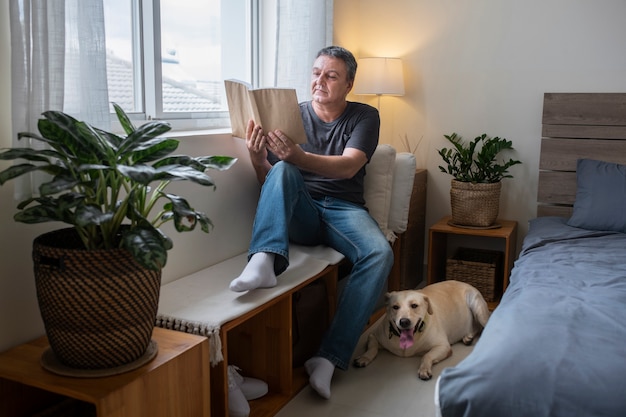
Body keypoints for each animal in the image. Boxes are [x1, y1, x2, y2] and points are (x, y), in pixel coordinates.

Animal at [352, 282, 488, 378]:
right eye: (395, 307)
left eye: (414, 305)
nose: (404, 321)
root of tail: (467, 283)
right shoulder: (373, 335)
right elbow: (372, 348)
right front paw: (364, 358)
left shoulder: (443, 346)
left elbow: (427, 355)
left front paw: (424, 369)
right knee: (477, 327)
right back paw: (468, 337)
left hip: (477, 307)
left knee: (485, 326)